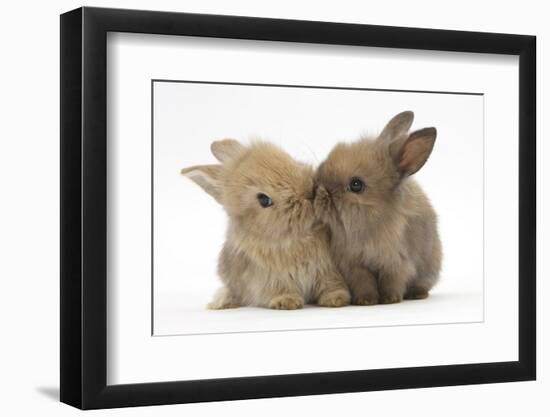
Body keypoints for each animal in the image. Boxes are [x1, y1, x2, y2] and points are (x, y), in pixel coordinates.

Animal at [183, 139, 352, 308]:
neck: (298, 237)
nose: (309, 193)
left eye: (290, 159)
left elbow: (330, 284)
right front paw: (287, 301)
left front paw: (336, 298)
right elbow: (280, 289)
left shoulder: (326, 268)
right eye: (264, 200)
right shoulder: (271, 277)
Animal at [314, 111, 444, 306]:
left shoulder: (396, 263)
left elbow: (392, 282)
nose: (318, 190)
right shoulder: (354, 265)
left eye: (356, 185)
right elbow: (364, 283)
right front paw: (365, 300)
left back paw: (417, 294)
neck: (371, 222)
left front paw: (390, 299)